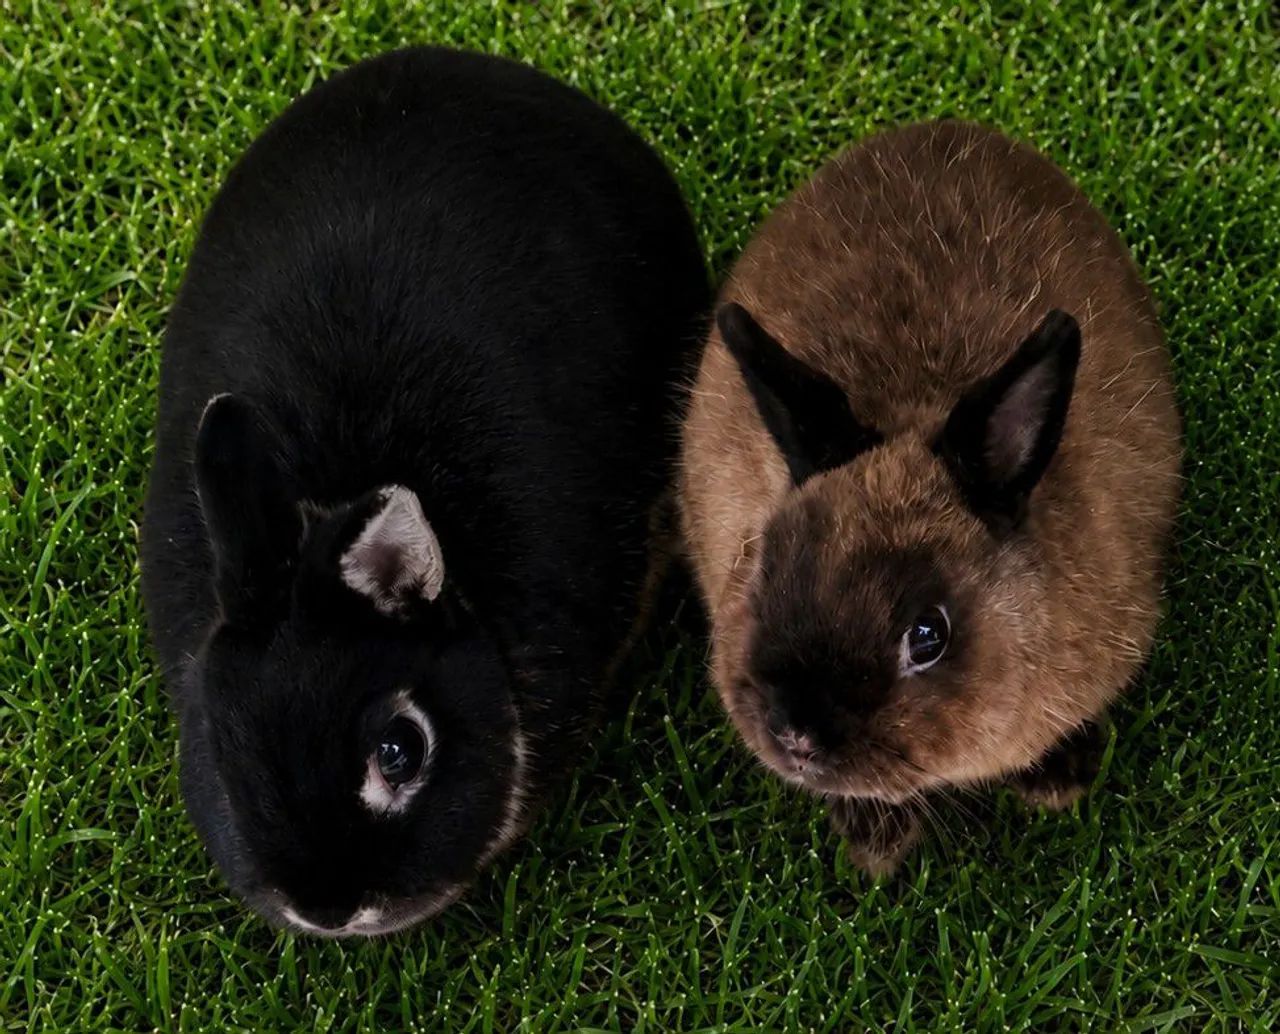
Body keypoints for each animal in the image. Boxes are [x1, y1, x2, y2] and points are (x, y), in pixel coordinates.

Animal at [679, 120, 1181, 875]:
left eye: (928, 636)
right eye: (764, 569)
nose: (797, 736)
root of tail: (949, 129)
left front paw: (1058, 783)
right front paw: (876, 842)